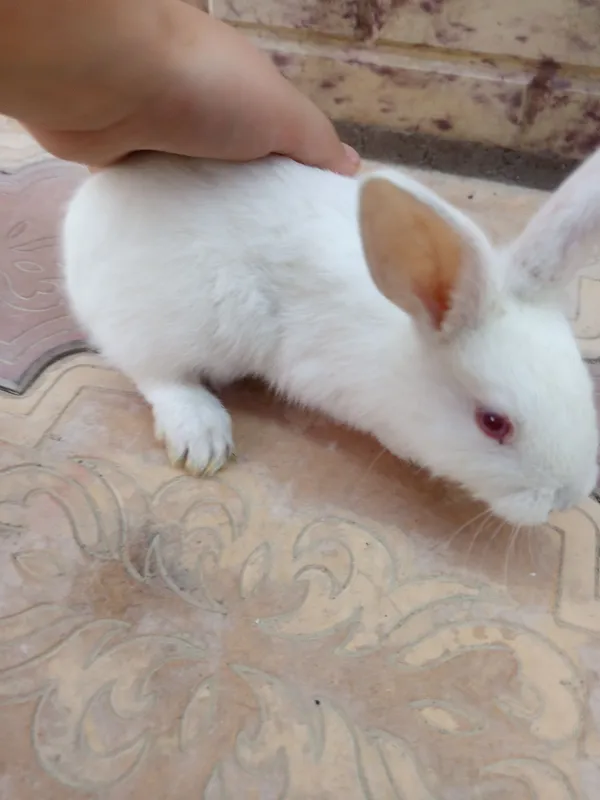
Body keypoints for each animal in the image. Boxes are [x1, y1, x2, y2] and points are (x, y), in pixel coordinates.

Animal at [61, 149, 600, 527]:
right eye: (493, 423)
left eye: (584, 387)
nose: (566, 499)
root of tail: (86, 207)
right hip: (171, 323)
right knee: (154, 372)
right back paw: (202, 436)